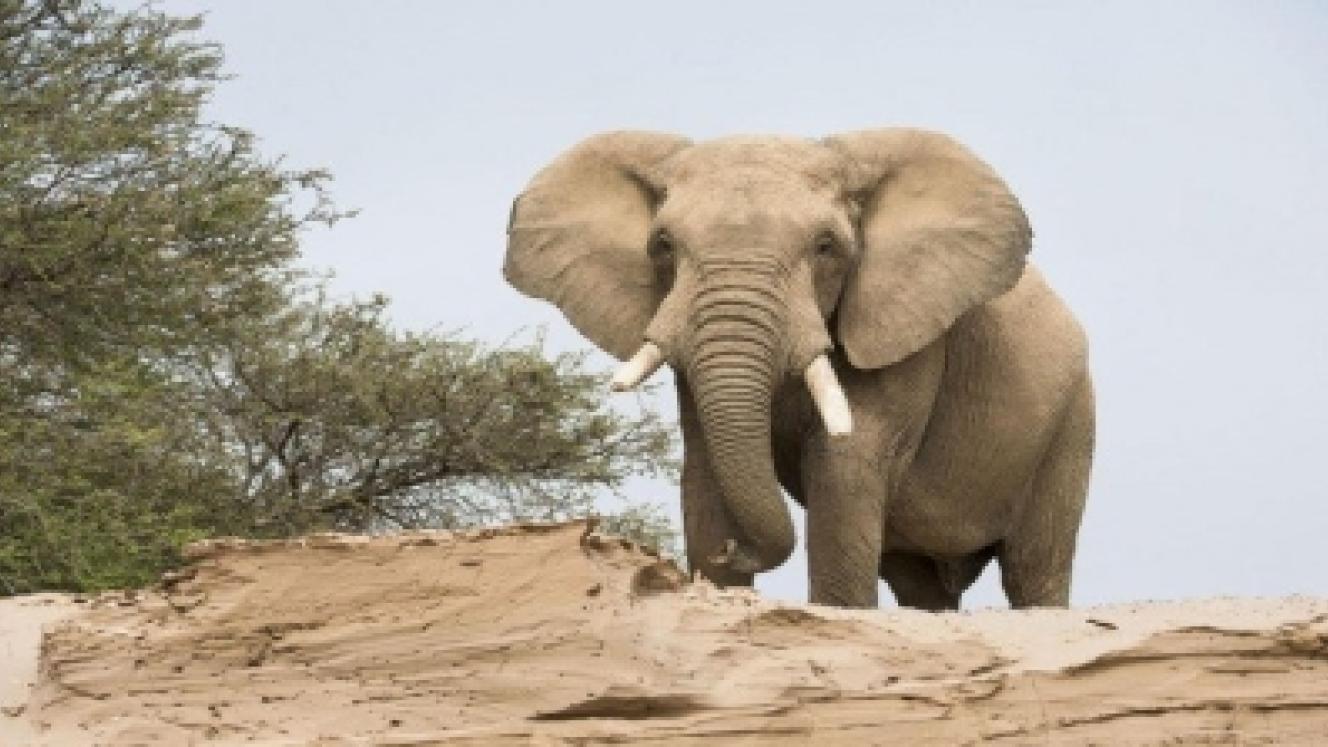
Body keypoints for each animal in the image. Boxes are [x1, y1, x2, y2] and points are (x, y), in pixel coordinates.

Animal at [504, 128, 1094, 610]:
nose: (733, 550)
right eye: (663, 246)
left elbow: (844, 468)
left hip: (1071, 424)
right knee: (920, 586)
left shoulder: (902, 334)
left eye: (826, 246)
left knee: (1033, 570)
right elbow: (705, 472)